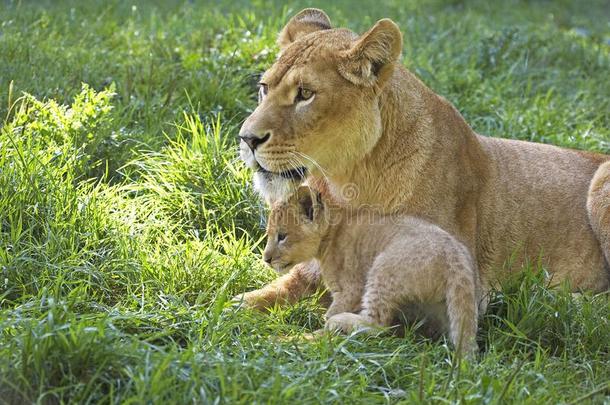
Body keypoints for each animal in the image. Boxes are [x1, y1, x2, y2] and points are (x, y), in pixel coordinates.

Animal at [236, 7, 608, 310]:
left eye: (305, 94)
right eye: (264, 88)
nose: (247, 139)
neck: (349, 182)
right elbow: (283, 284)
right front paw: (234, 305)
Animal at [264, 185, 482, 352]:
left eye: (282, 236)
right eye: (269, 234)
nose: (266, 259)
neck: (330, 235)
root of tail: (457, 259)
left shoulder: (351, 290)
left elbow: (332, 312)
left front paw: (323, 329)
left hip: (382, 269)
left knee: (379, 325)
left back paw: (337, 323)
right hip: (441, 306)